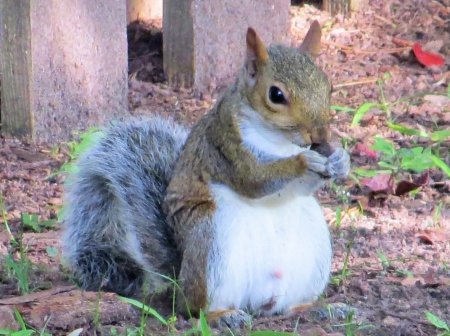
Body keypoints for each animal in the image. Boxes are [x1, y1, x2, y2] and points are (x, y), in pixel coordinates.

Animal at [60, 20, 352, 328]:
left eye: (329, 87)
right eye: (276, 95)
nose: (320, 136)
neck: (279, 141)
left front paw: (341, 159)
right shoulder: (226, 147)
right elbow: (254, 179)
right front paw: (303, 161)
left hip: (311, 250)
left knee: (289, 306)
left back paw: (319, 308)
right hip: (211, 239)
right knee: (195, 309)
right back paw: (223, 315)